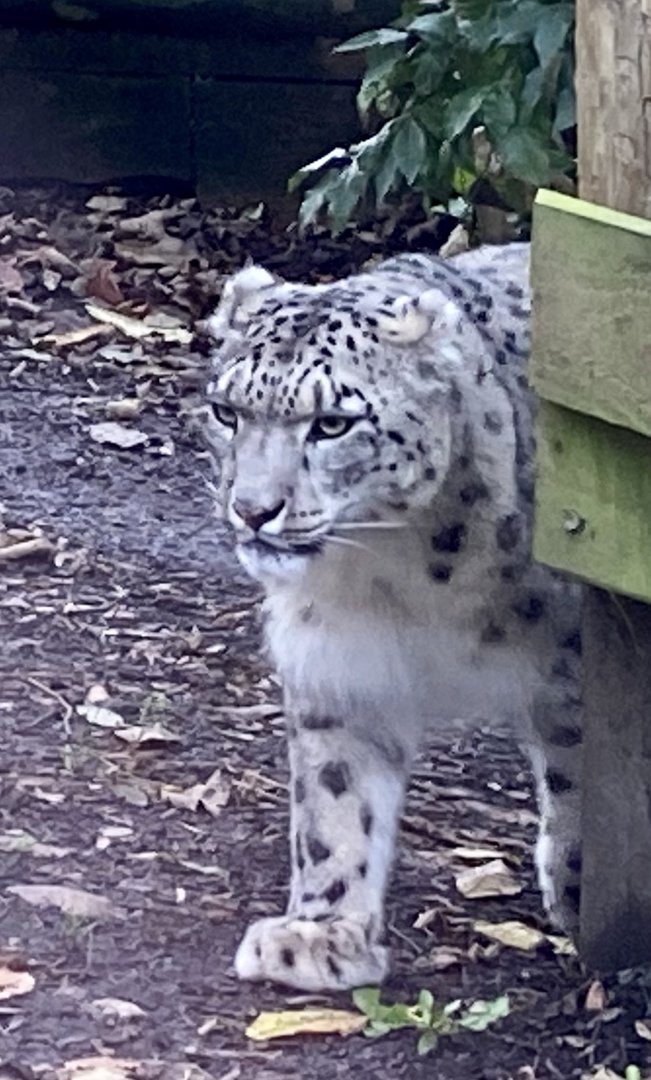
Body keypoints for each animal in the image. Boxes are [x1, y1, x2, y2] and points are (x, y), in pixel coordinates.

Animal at [202, 242, 583, 993]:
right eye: (227, 411)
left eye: (332, 422)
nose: (252, 510)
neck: (399, 574)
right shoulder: (339, 660)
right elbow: (335, 799)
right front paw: (319, 935)